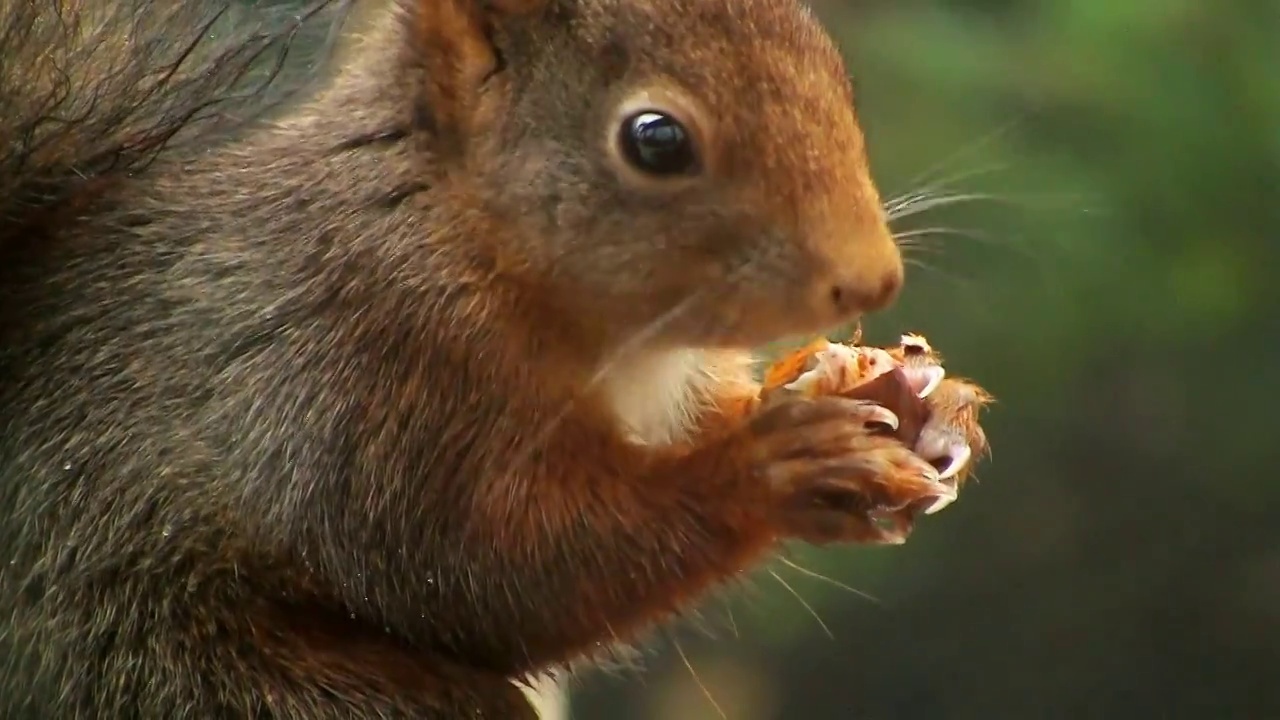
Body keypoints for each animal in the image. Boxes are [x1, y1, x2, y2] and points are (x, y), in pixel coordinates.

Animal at [2, 0, 962, 712]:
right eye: (655, 140)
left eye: (832, 68)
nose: (872, 280)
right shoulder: (363, 371)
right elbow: (490, 568)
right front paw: (775, 466)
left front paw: (893, 400)